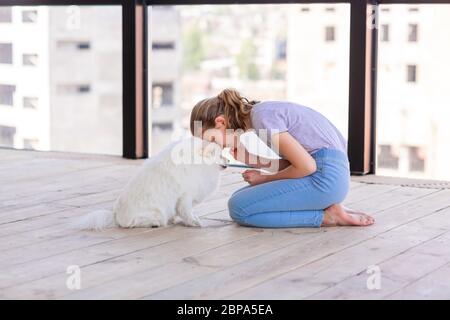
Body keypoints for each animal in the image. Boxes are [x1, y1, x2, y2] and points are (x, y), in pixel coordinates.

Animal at [74, 138, 224, 230]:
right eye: (219, 155)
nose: (227, 162)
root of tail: (115, 215)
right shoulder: (185, 196)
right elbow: (186, 212)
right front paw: (194, 222)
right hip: (157, 214)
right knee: (134, 223)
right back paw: (155, 224)